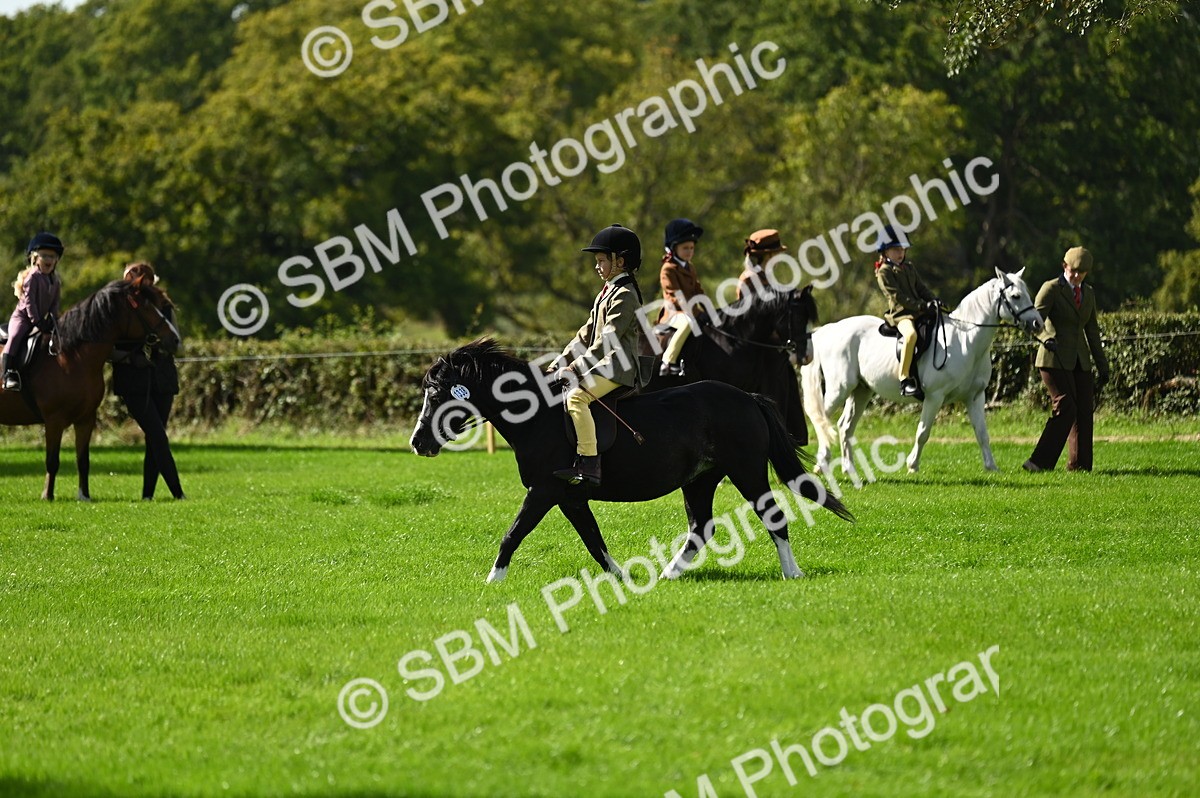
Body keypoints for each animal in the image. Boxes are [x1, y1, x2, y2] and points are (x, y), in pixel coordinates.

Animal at [0, 279, 179, 500]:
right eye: (146, 306)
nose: (175, 339)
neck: (70, 357)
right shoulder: (54, 420)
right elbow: (52, 461)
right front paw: (47, 496)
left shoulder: (86, 419)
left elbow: (83, 461)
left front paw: (84, 496)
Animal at [409, 339, 852, 583]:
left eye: (437, 394)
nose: (417, 443)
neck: (536, 416)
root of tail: (747, 398)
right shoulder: (569, 498)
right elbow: (593, 540)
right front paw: (620, 577)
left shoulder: (545, 490)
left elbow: (513, 534)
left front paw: (492, 580)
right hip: (701, 479)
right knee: (700, 527)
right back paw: (668, 574)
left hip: (746, 472)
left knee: (772, 518)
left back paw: (791, 572)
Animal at [801, 267, 1043, 478]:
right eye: (1015, 296)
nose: (1037, 323)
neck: (965, 341)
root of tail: (830, 329)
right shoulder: (934, 397)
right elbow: (923, 432)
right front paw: (912, 465)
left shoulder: (975, 396)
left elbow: (982, 433)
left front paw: (991, 466)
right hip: (840, 389)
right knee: (821, 418)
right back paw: (821, 465)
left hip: (861, 391)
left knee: (845, 426)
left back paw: (847, 469)